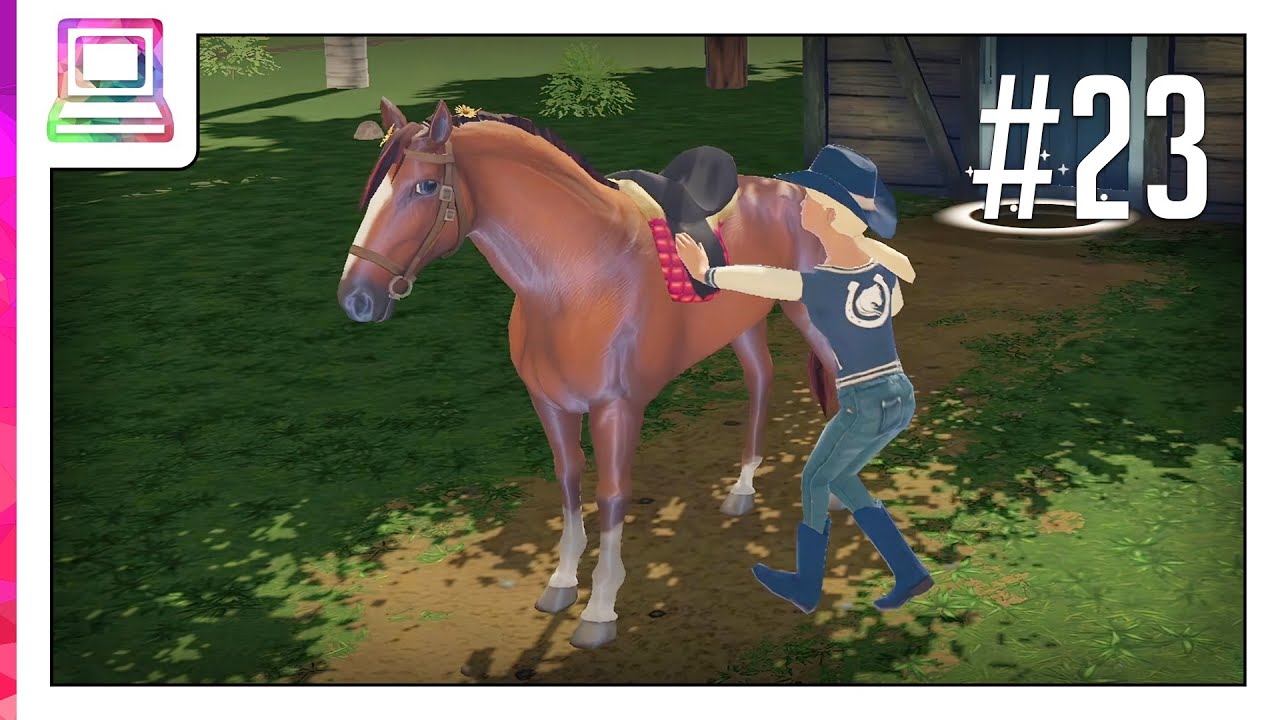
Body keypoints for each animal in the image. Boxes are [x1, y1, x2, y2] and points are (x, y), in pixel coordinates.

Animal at [337, 98, 842, 649]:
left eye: (426, 187)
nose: (356, 298)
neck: (576, 276)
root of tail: (794, 190)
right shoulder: (550, 404)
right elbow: (569, 479)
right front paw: (561, 582)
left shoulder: (617, 409)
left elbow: (611, 493)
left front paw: (601, 608)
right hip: (744, 324)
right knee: (761, 378)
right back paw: (743, 488)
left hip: (808, 313)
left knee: (838, 378)